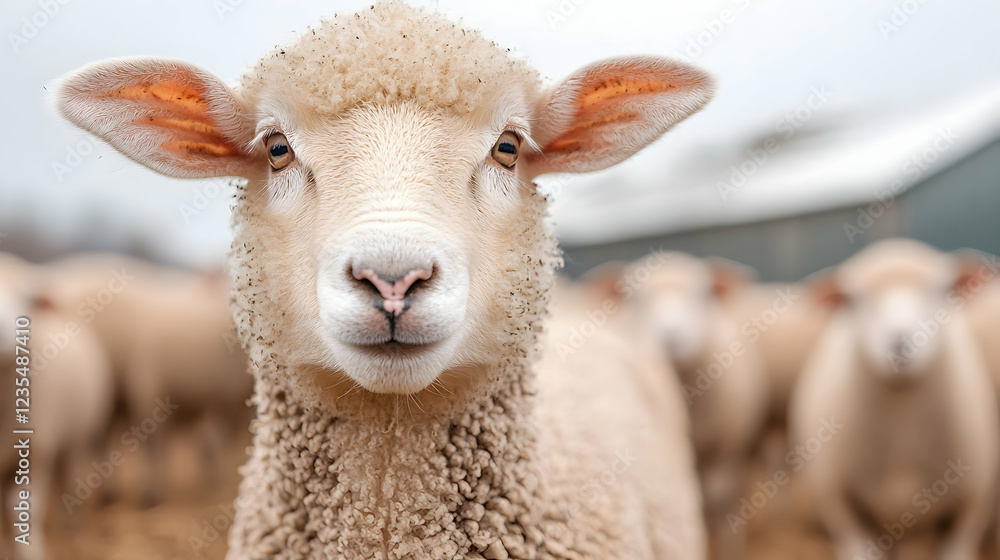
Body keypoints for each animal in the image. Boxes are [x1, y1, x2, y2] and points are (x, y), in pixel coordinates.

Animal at [0, 252, 115, 560]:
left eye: (24, 297)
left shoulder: (36, 452)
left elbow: (26, 509)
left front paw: (30, 553)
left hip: (73, 441)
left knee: (68, 477)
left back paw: (70, 527)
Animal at [582, 253, 770, 560]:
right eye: (636, 298)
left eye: (701, 294)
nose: (670, 336)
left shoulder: (725, 452)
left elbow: (723, 499)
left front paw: (730, 544)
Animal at [788, 238, 999, 560]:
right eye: (853, 300)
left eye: (944, 290)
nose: (900, 340)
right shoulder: (836, 498)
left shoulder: (976, 498)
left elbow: (959, 546)